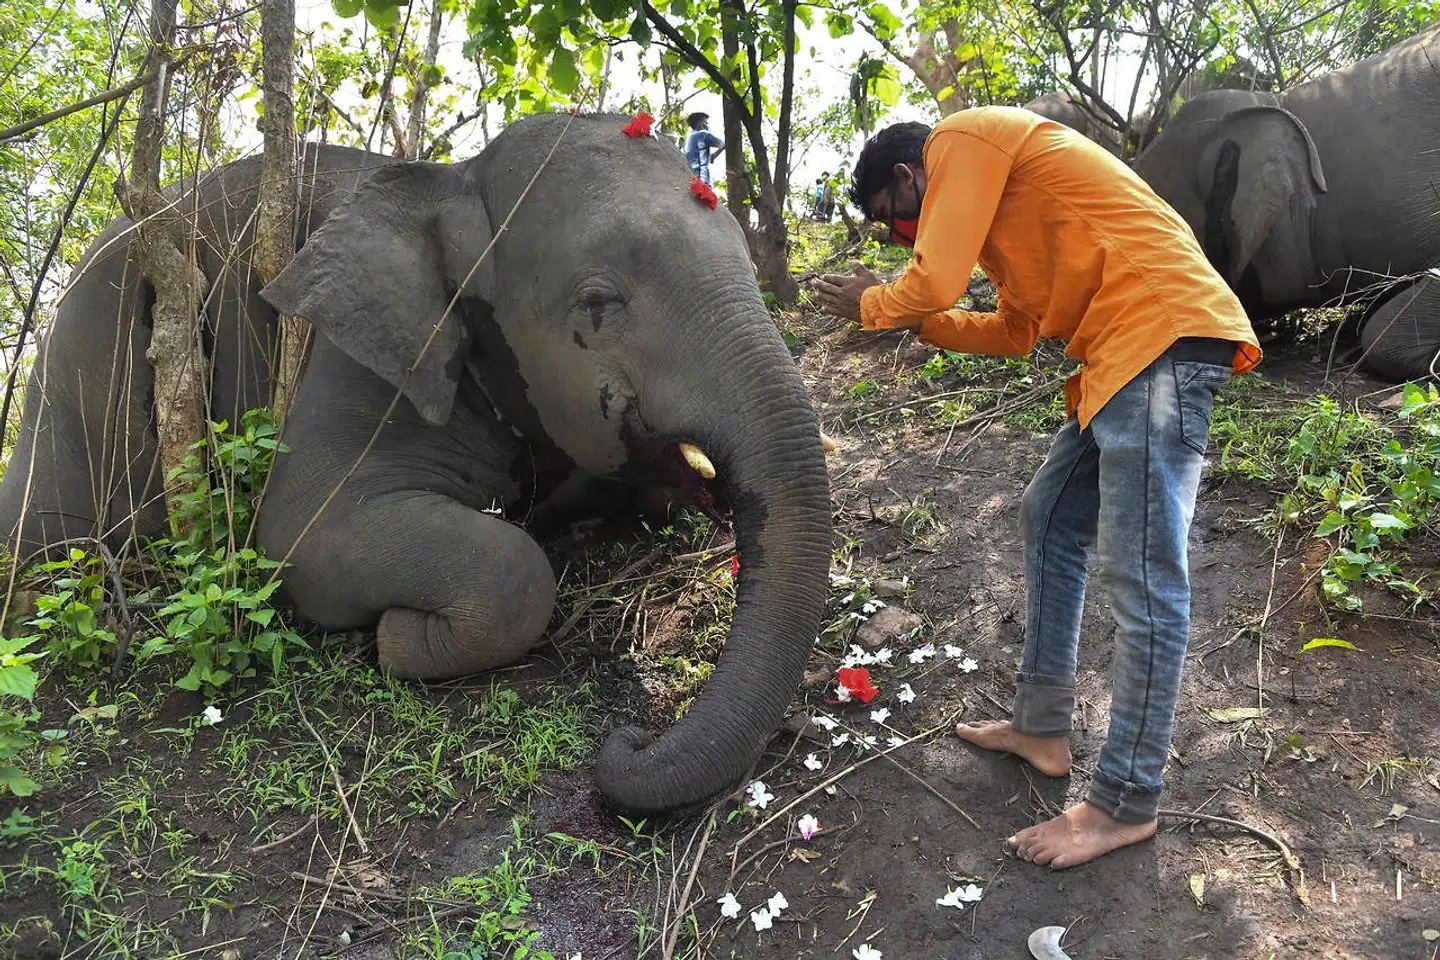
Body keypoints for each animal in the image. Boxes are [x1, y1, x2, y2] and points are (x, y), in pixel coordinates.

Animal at [0, 112, 834, 814]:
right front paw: (399, 638)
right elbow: (308, 533)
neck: (457, 177)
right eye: (599, 303)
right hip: (88, 354)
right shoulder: (362, 352)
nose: (629, 737)